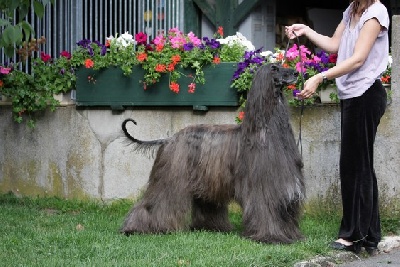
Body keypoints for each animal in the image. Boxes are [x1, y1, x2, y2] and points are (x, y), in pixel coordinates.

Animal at [120, 63, 304, 244]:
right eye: (274, 68)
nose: (296, 73)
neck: (264, 130)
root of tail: (169, 139)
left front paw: (292, 236)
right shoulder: (263, 187)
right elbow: (265, 210)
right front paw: (271, 237)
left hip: (205, 181)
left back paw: (210, 227)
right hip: (170, 177)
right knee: (153, 203)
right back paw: (135, 228)